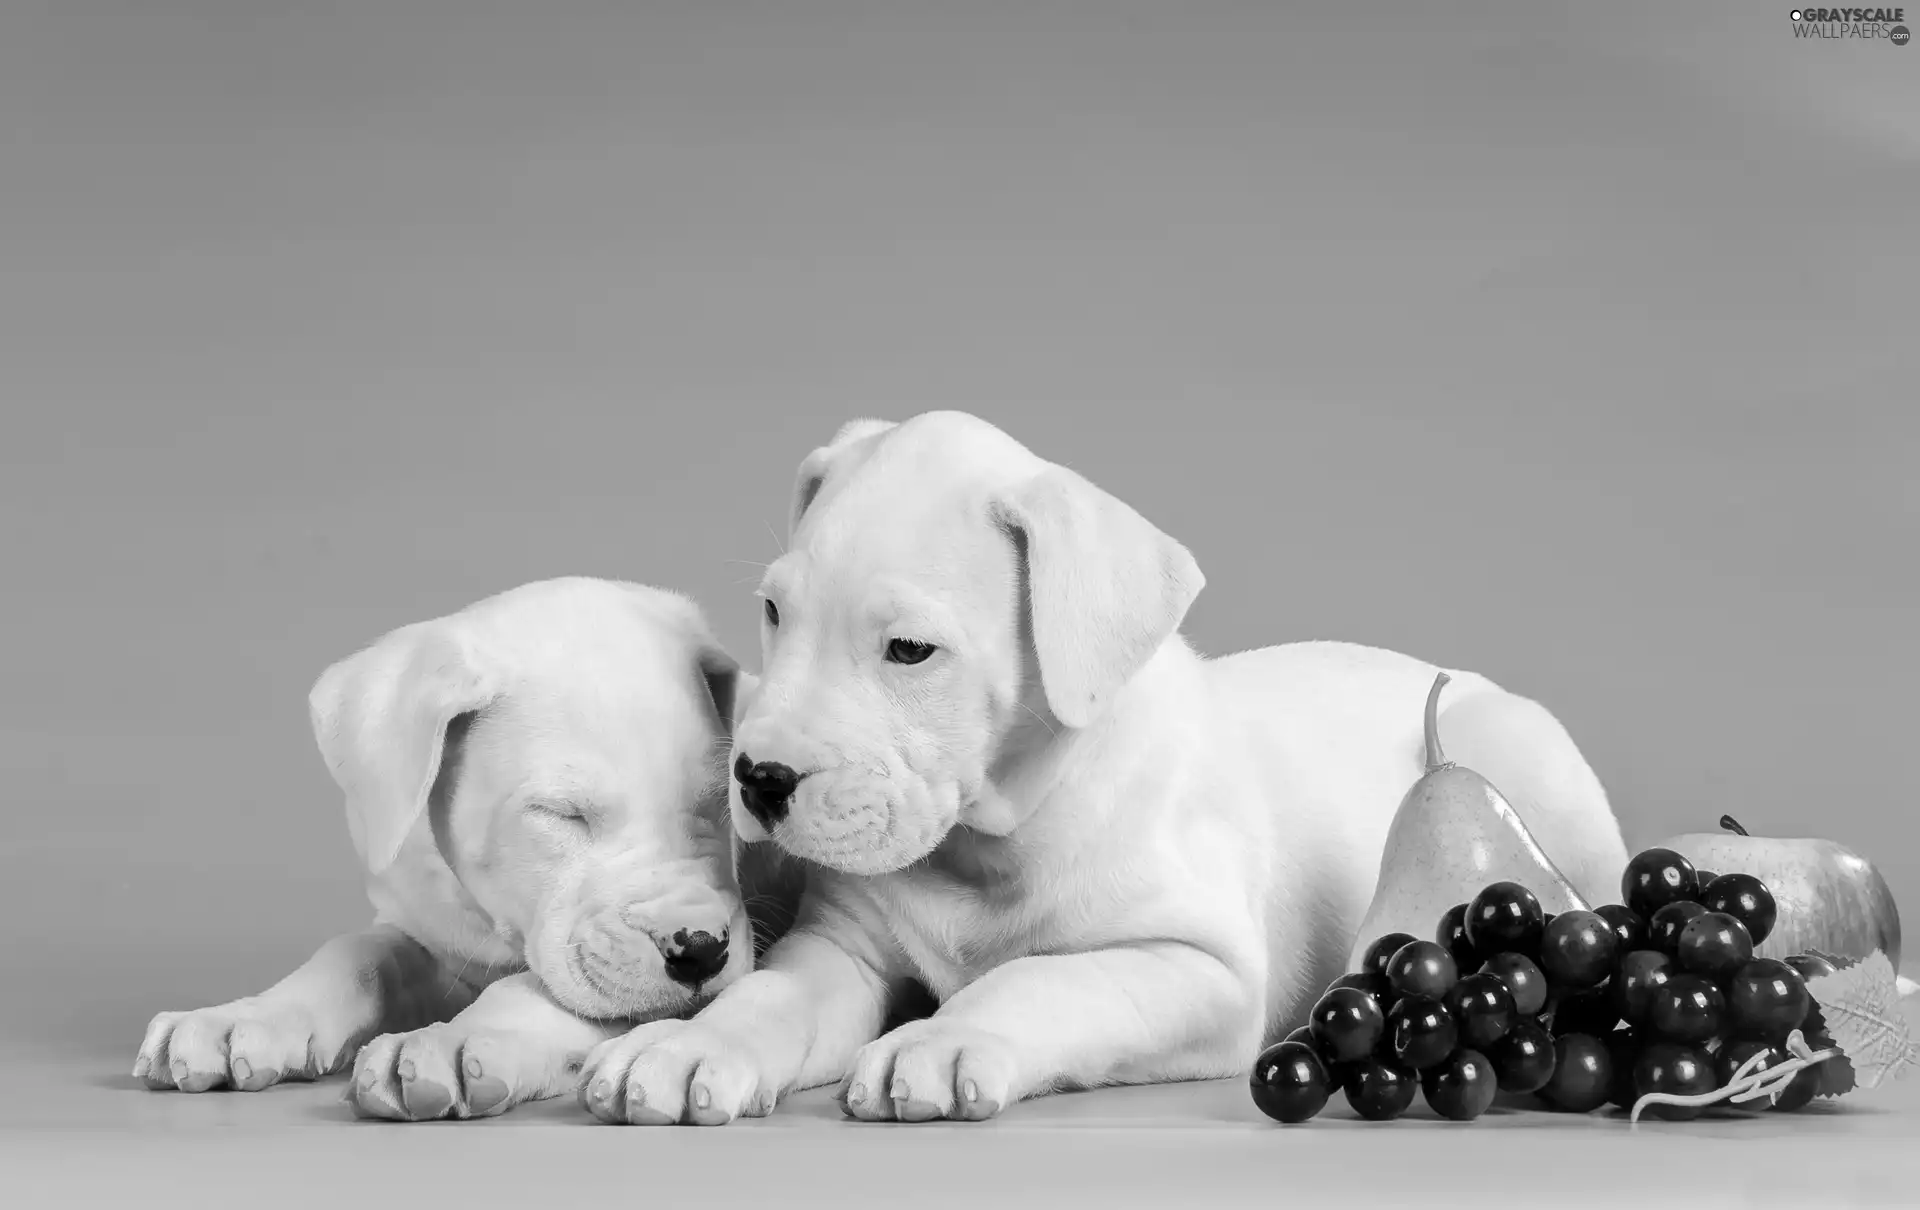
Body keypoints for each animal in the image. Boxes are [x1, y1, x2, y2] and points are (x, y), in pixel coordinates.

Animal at [131, 580, 798, 1129]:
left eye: (721, 801)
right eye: (560, 813)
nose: (701, 949)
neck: (495, 926)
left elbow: (532, 990)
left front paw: (458, 1041)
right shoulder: (430, 930)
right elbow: (356, 952)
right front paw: (244, 1017)